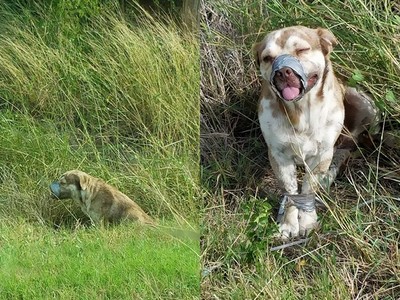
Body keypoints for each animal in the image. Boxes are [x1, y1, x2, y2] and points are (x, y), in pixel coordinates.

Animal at [253, 25, 378, 239]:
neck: (301, 111)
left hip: (363, 103)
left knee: (348, 147)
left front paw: (307, 221)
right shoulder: (279, 156)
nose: (283, 71)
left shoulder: (322, 153)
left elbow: (308, 187)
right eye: (267, 58)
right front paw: (288, 223)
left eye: (302, 49)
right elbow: (291, 192)